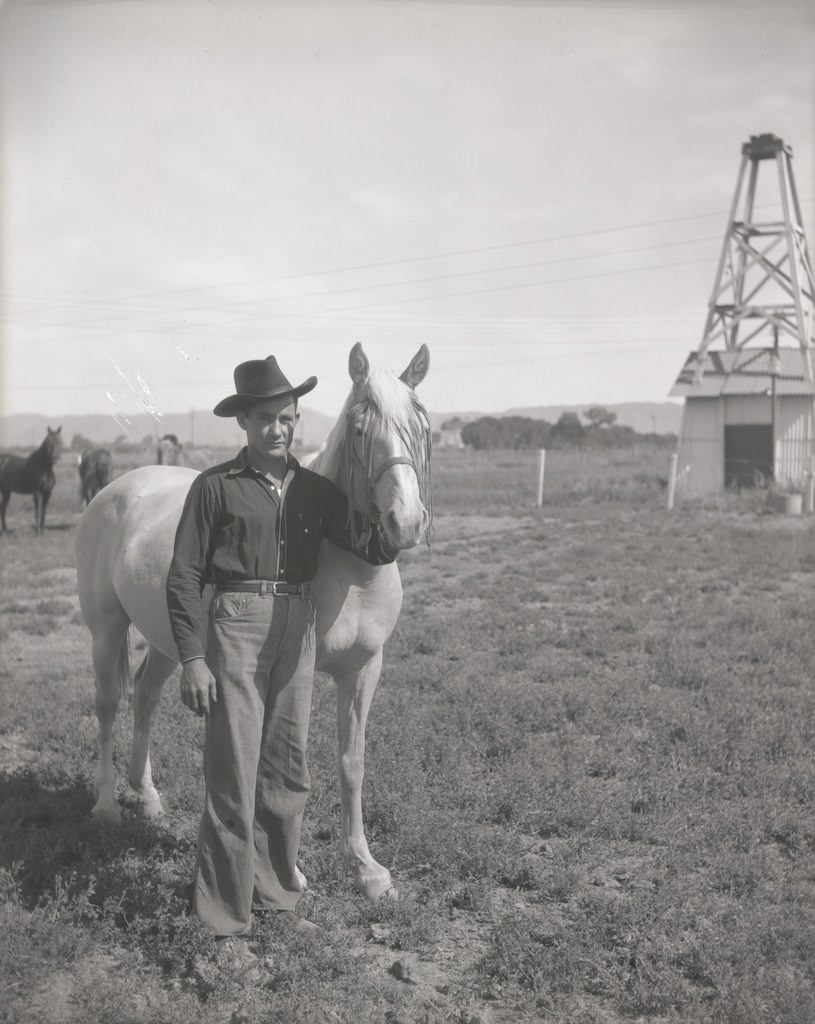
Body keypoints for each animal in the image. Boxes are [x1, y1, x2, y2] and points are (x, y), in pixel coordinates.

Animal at [76, 346, 432, 905]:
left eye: (422, 425)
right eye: (359, 429)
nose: (406, 522)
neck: (347, 565)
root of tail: (118, 488)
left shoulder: (364, 671)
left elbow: (351, 762)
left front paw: (367, 869)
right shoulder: (295, 672)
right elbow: (286, 761)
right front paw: (291, 874)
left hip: (169, 641)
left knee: (146, 696)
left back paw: (147, 796)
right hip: (107, 630)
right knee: (109, 705)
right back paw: (108, 805)